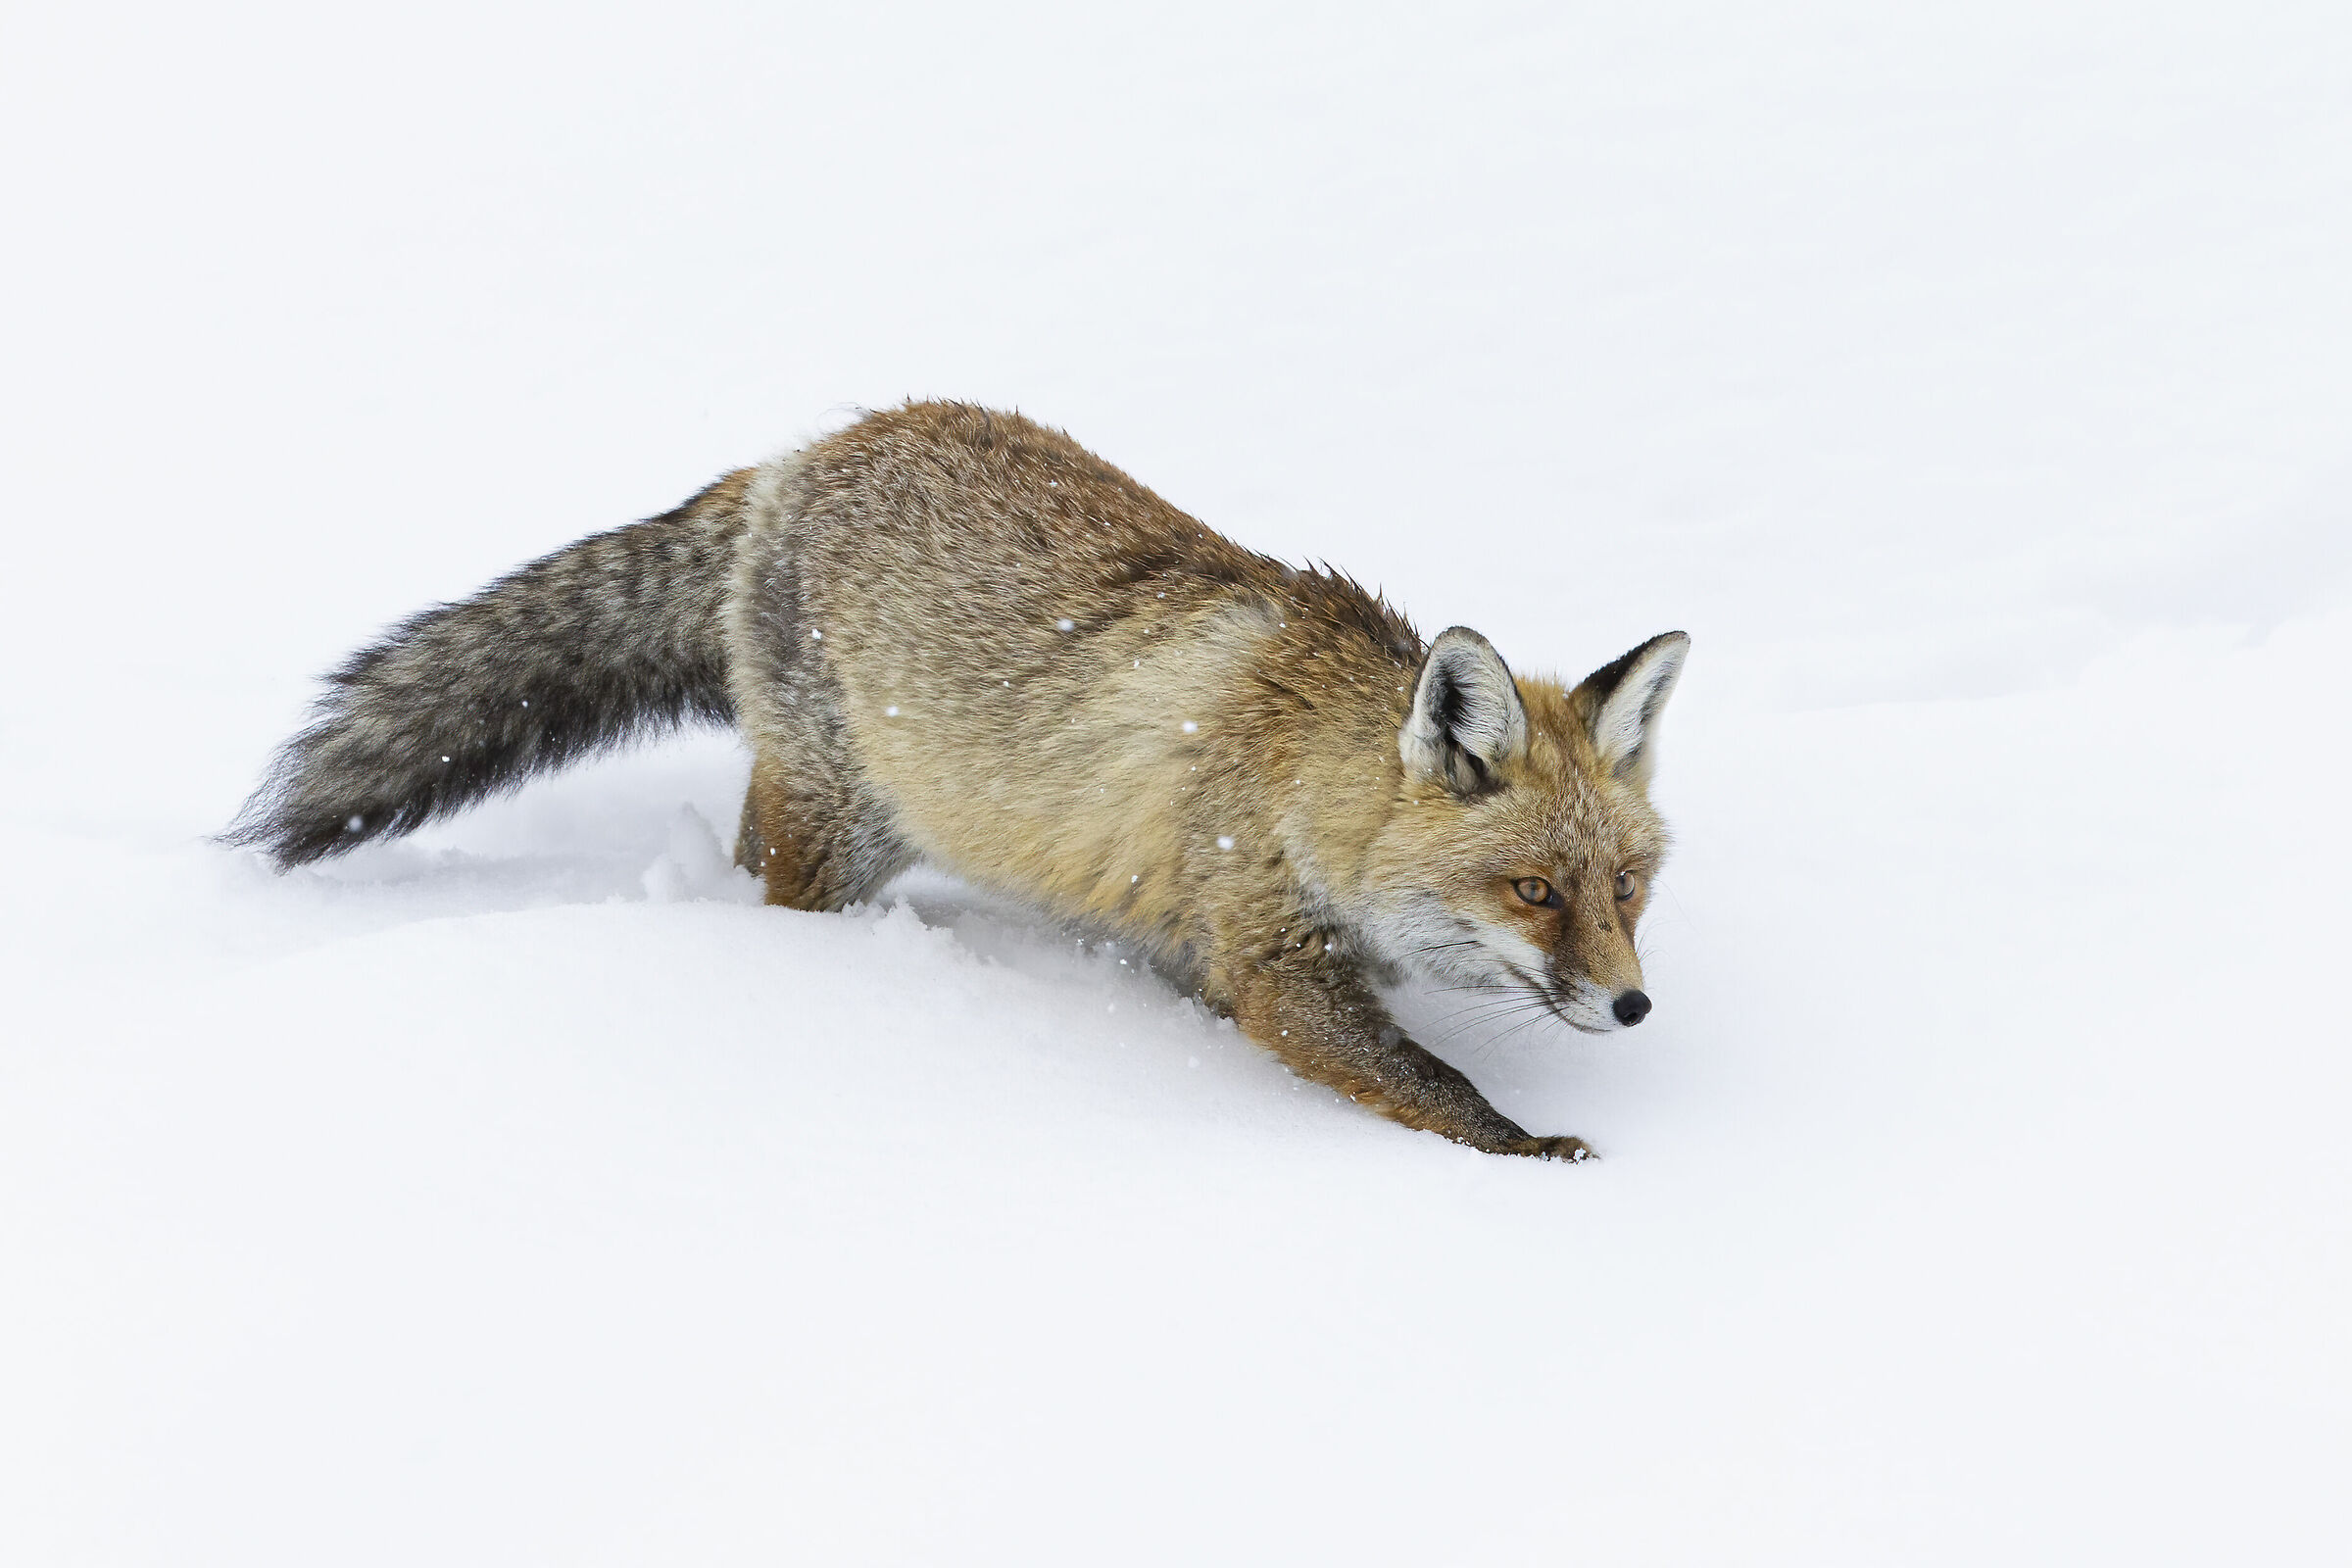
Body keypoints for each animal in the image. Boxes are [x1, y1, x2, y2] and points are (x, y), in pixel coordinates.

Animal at [230, 402, 1688, 1160]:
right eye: (1533, 888)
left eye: (1626, 886)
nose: (1633, 1007)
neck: (1301, 773)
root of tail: (798, 455)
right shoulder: (1273, 955)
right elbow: (1433, 1089)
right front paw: (1533, 1159)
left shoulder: (1203, 947)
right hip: (841, 826)